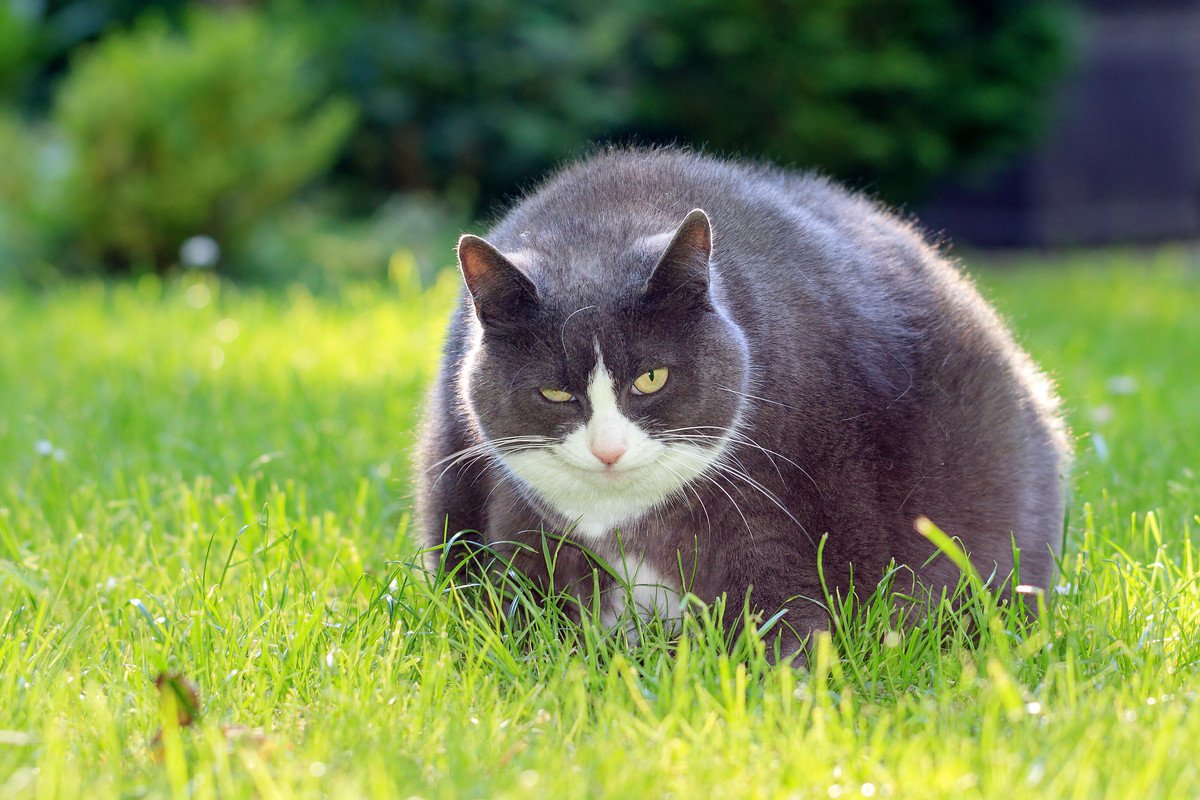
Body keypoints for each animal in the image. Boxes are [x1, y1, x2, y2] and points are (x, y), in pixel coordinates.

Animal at [417, 146, 1075, 652]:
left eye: (652, 378)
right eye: (553, 391)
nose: (608, 451)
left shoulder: (770, 509)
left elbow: (782, 619)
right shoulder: (522, 524)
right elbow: (529, 624)